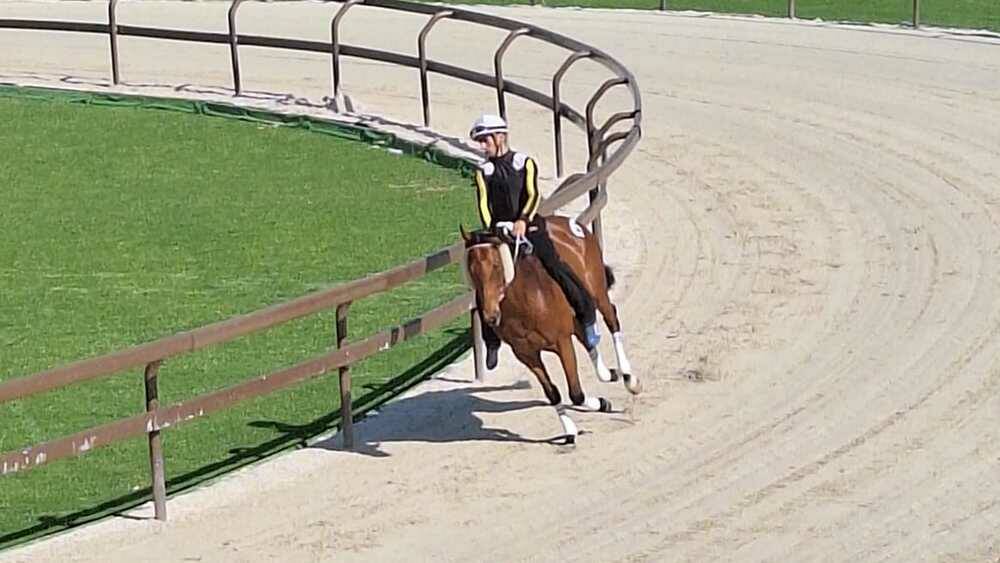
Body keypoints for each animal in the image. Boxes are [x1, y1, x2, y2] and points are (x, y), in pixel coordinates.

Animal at [460, 216, 640, 446]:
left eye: (496, 265)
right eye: (471, 270)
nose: (490, 316)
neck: (523, 303)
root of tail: (568, 222)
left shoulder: (562, 342)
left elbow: (576, 393)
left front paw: (599, 403)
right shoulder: (527, 354)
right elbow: (552, 392)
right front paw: (571, 430)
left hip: (598, 292)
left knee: (612, 321)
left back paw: (629, 378)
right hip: (574, 318)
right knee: (587, 336)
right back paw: (608, 373)